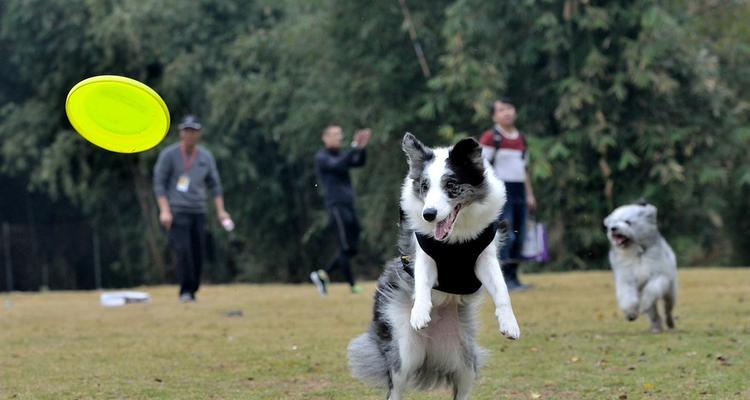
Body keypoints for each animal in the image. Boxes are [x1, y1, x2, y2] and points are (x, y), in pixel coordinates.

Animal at [350, 134, 520, 400]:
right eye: (424, 187)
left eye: (450, 185)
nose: (428, 214)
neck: (456, 241)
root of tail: (429, 350)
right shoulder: (425, 256)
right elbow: (422, 282)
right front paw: (420, 313)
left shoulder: (485, 257)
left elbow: (502, 290)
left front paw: (509, 324)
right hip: (403, 348)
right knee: (395, 386)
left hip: (465, 359)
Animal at [604, 202, 680, 332]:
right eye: (613, 222)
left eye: (627, 222)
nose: (613, 228)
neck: (637, 254)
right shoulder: (626, 279)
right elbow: (628, 296)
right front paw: (630, 313)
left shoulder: (660, 276)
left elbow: (651, 289)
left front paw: (643, 303)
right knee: (654, 314)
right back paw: (656, 327)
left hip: (670, 292)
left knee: (667, 309)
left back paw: (669, 323)